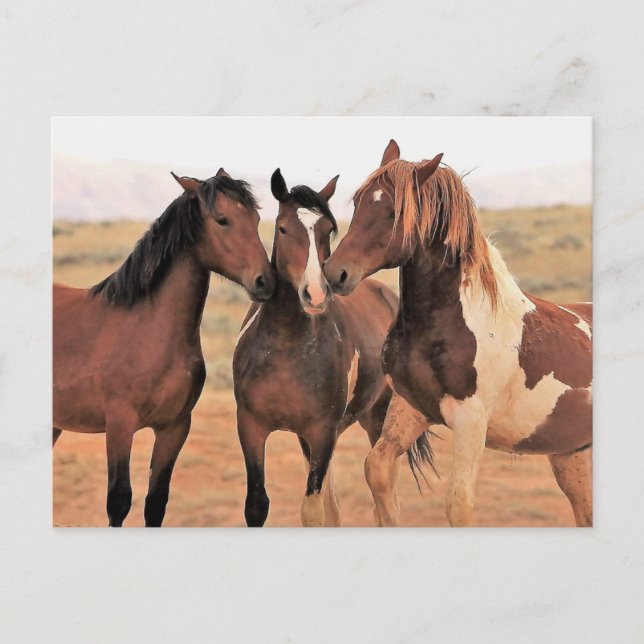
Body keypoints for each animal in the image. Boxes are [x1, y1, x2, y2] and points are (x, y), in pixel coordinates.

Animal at [53, 169, 275, 527]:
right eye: (222, 219)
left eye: (255, 218)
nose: (266, 282)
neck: (148, 329)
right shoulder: (119, 425)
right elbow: (119, 501)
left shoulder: (174, 428)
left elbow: (155, 502)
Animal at [233, 169, 407, 527]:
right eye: (283, 228)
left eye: (328, 230)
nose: (315, 294)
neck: (284, 347)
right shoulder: (251, 427)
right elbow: (257, 505)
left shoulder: (322, 432)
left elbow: (313, 510)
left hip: (378, 420)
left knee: (386, 500)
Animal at [324, 140, 592, 527]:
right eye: (358, 202)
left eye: (394, 212)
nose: (335, 273)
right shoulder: (411, 408)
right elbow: (377, 471)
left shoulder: (470, 420)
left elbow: (459, 503)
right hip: (570, 455)